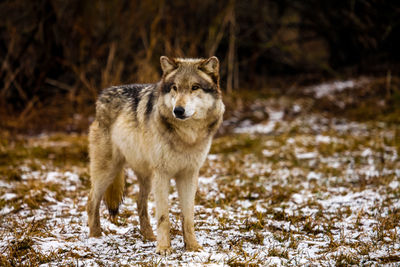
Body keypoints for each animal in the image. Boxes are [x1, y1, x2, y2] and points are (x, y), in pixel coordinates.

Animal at [87, 55, 225, 254]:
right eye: (174, 87)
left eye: (195, 87)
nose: (178, 110)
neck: (187, 136)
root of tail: (102, 95)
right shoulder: (162, 174)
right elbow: (163, 216)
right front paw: (164, 248)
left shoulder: (189, 175)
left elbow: (188, 216)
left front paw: (193, 247)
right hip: (108, 172)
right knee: (91, 201)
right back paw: (95, 236)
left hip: (145, 176)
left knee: (139, 203)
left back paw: (148, 236)